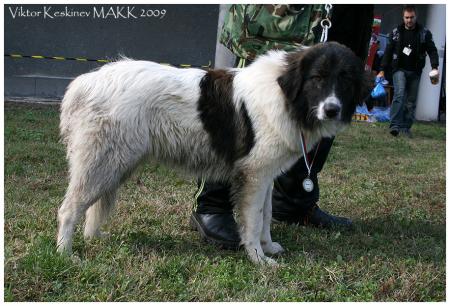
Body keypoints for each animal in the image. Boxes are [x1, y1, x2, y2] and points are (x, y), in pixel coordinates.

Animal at [56, 41, 370, 264]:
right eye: (317, 78)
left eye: (345, 80)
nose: (332, 109)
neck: (286, 97)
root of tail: (83, 83)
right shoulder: (253, 176)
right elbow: (253, 220)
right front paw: (259, 259)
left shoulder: (265, 177)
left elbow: (266, 215)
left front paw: (268, 246)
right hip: (102, 164)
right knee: (70, 209)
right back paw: (65, 254)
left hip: (115, 165)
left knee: (93, 206)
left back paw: (95, 236)